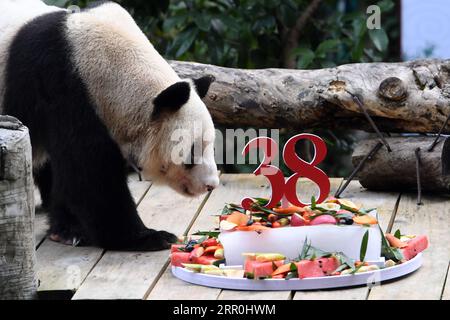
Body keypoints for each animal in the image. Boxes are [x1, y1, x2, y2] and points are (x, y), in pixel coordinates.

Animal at [0, 0, 219, 250]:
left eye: (211, 146)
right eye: (191, 152)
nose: (211, 185)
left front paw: (67, 228)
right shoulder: (63, 90)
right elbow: (90, 175)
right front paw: (149, 236)